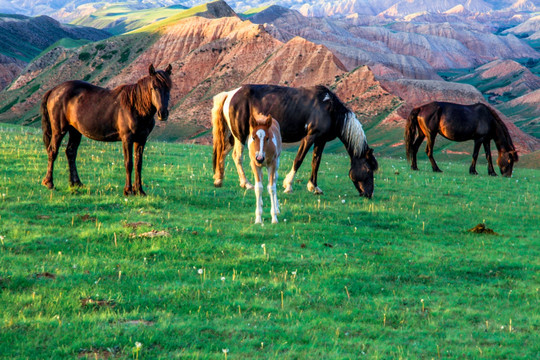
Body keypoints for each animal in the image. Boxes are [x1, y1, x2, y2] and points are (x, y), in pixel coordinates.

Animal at [41, 63, 172, 195]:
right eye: (154, 87)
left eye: (169, 88)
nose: (163, 113)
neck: (135, 107)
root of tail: (54, 90)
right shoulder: (127, 139)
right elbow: (128, 163)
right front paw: (128, 190)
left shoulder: (141, 140)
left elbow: (138, 164)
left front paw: (139, 191)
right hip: (59, 131)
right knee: (52, 151)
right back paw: (49, 183)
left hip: (75, 131)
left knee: (71, 153)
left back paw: (76, 183)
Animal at [212, 84, 380, 198]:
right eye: (368, 170)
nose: (369, 194)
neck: (329, 108)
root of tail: (230, 94)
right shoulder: (310, 136)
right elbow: (299, 159)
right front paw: (288, 185)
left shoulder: (321, 140)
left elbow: (316, 162)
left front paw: (314, 187)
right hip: (240, 135)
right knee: (237, 156)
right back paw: (246, 184)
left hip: (234, 136)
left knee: (223, 152)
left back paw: (219, 180)